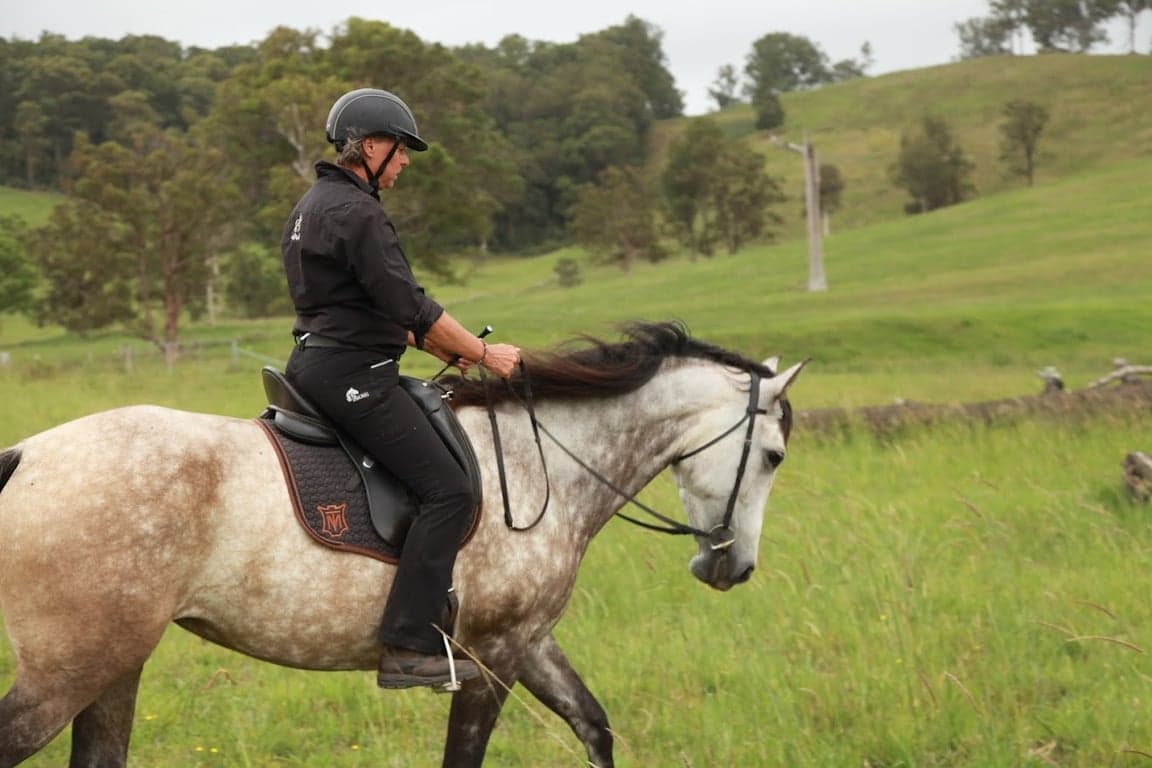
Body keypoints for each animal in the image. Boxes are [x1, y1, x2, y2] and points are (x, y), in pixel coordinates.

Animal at [0, 321, 803, 767]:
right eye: (772, 457)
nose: (733, 567)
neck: (543, 458)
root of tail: (27, 455)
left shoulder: (527, 640)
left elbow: (594, 727)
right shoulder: (493, 655)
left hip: (114, 665)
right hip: (70, 669)